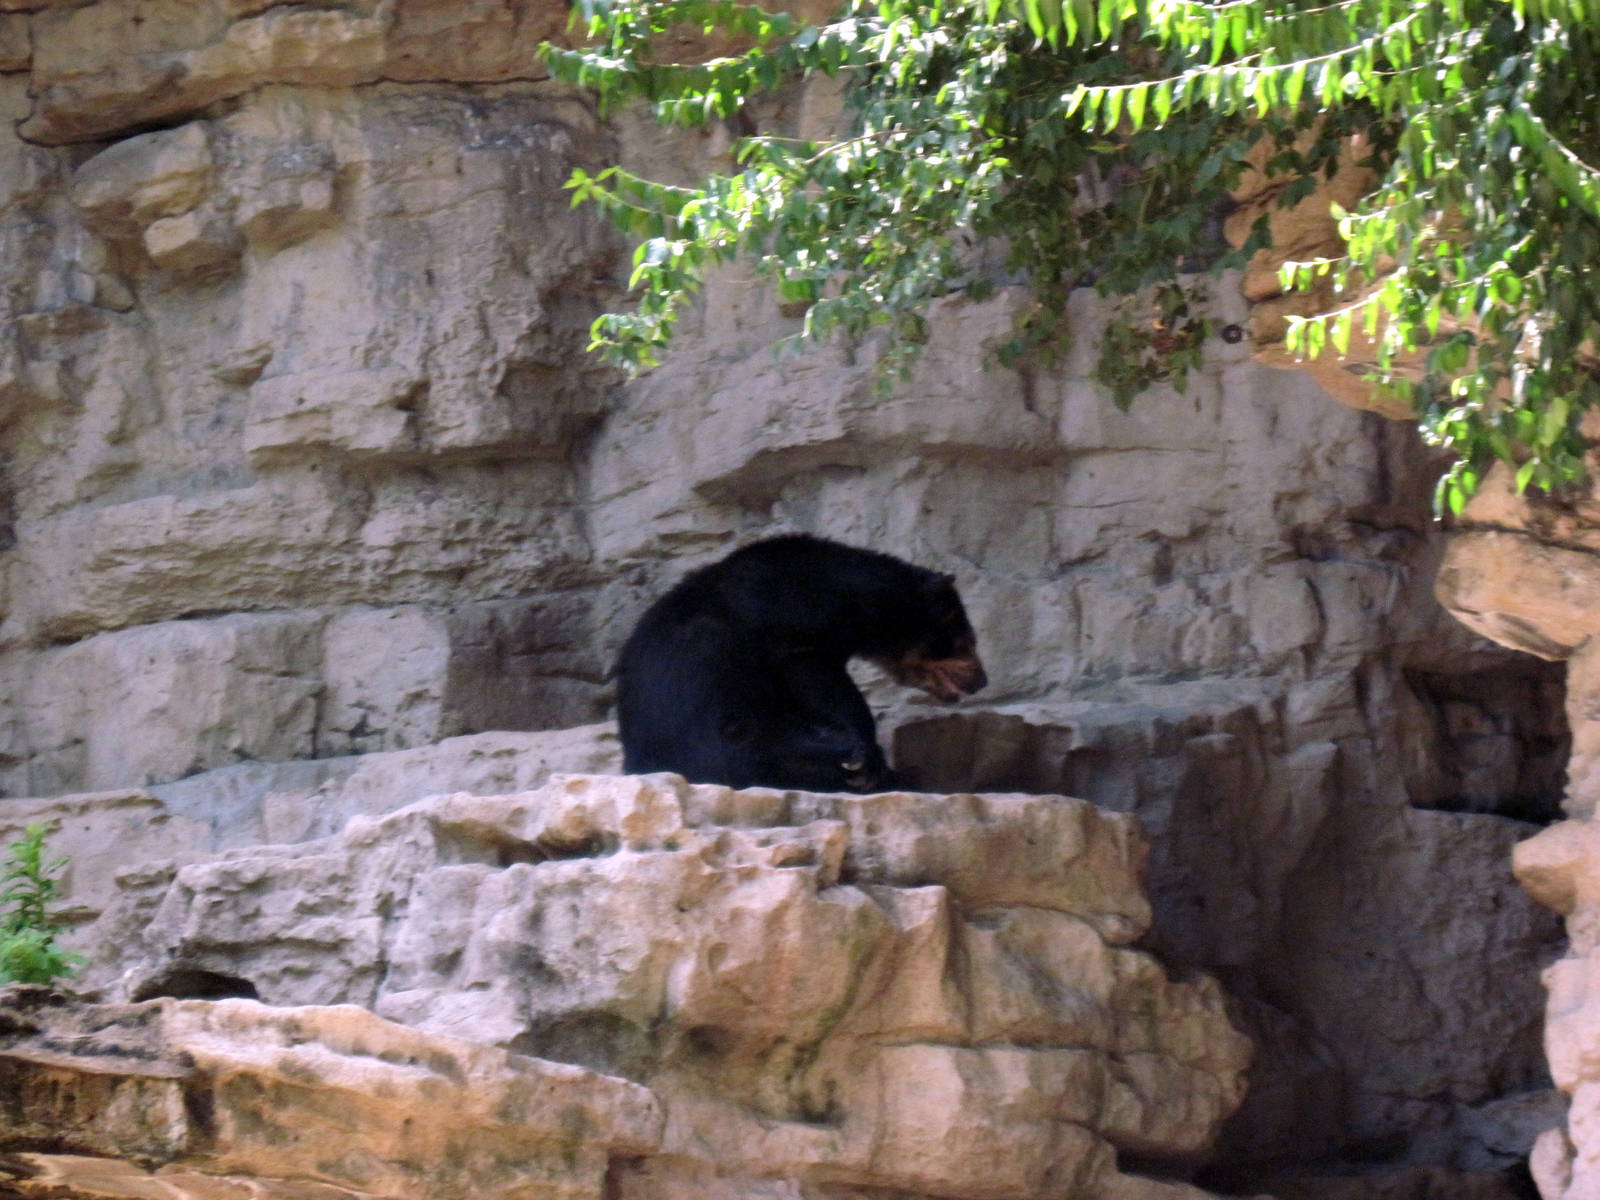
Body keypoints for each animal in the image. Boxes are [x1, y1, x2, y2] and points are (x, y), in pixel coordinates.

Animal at [615, 534, 987, 793]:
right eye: (966, 641)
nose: (980, 679)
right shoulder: (788, 627)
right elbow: (822, 686)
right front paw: (862, 755)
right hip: (702, 666)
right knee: (735, 739)